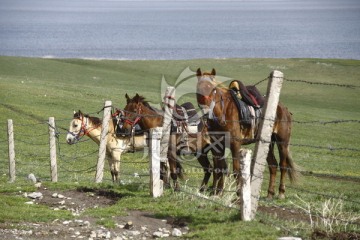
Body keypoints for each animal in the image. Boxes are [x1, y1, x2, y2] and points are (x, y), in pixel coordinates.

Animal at [195, 69, 296, 199]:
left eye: (213, 89)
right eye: (199, 89)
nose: (207, 113)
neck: (222, 112)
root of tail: (284, 108)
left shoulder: (235, 144)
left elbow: (236, 170)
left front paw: (239, 194)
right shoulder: (216, 145)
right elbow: (219, 168)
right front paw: (217, 192)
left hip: (282, 142)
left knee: (283, 165)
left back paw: (281, 193)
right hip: (267, 143)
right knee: (273, 165)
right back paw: (269, 194)